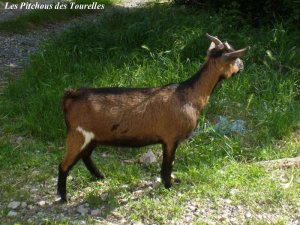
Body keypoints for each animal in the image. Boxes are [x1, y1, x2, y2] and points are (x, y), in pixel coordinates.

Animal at [57, 33, 250, 202]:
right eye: (234, 58)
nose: (242, 65)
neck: (188, 95)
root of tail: (72, 95)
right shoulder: (171, 138)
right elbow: (168, 163)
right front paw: (168, 185)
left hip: (92, 137)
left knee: (85, 156)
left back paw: (100, 176)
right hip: (78, 135)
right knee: (64, 164)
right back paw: (63, 197)